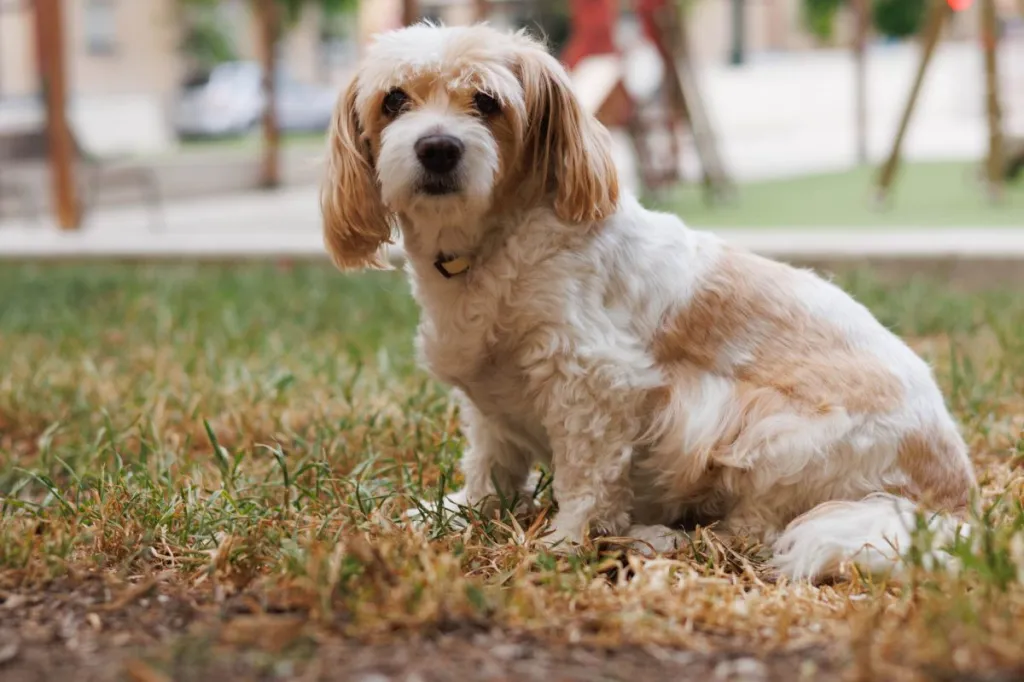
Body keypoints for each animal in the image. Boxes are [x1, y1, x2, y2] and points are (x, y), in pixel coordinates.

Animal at [319, 21, 974, 577]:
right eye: (394, 101)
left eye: (487, 102)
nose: (437, 147)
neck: (493, 245)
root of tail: (953, 495)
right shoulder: (489, 402)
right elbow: (490, 465)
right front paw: (462, 512)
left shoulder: (596, 382)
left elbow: (587, 482)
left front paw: (567, 543)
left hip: (774, 440)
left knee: (752, 531)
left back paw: (659, 537)